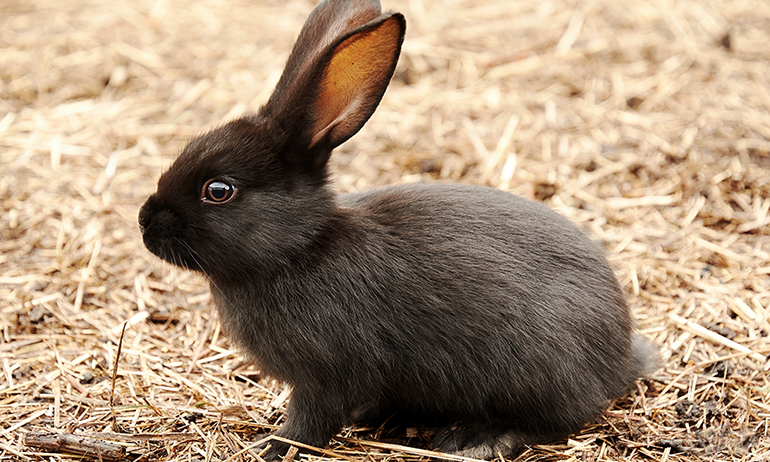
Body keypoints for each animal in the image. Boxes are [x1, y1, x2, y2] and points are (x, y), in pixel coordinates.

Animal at [138, 0, 656, 458]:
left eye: (218, 190)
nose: (144, 223)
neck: (300, 248)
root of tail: (619, 357)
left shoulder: (324, 376)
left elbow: (309, 422)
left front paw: (272, 446)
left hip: (535, 368)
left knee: (561, 418)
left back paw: (478, 439)